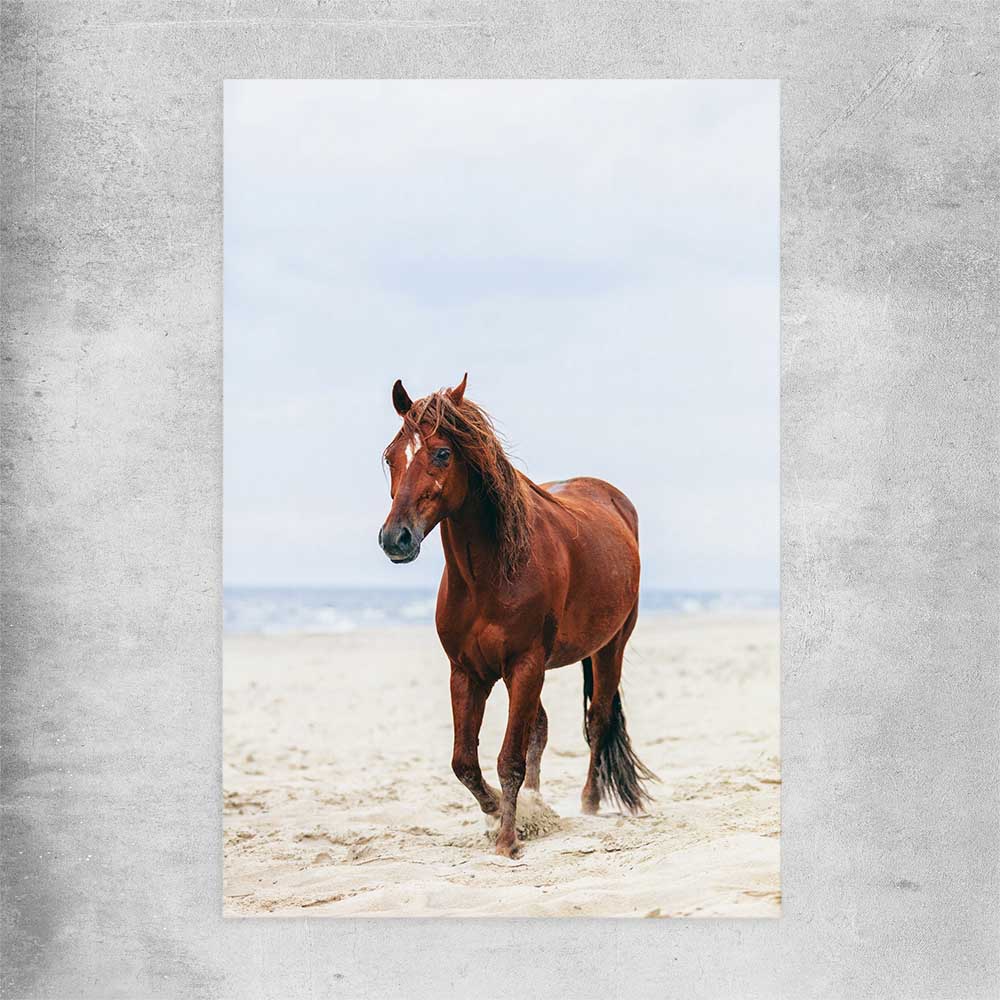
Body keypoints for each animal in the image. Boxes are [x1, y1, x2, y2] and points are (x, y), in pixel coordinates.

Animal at [378, 374, 656, 857]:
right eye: (391, 455)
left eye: (442, 453)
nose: (396, 538)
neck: (490, 576)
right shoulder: (467, 672)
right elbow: (465, 762)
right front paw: (500, 812)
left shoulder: (525, 665)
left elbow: (509, 758)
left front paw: (508, 839)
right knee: (541, 729)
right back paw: (538, 802)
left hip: (609, 648)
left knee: (598, 721)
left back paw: (588, 803)